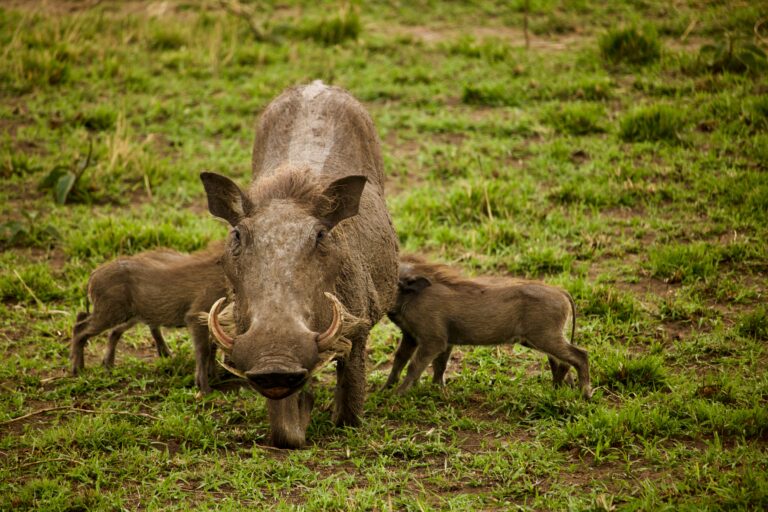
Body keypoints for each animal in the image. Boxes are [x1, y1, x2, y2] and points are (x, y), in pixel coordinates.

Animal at [70, 242, 227, 394]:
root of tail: (93, 274)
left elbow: (213, 347)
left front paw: (215, 378)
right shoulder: (197, 316)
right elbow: (204, 351)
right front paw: (205, 390)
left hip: (129, 315)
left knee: (95, 323)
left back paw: (107, 366)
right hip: (110, 313)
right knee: (80, 328)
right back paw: (78, 370)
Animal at [201, 81, 398, 448]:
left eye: (320, 235)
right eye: (237, 235)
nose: (275, 359)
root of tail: (317, 85)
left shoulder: (359, 326)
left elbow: (350, 403)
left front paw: (338, 418)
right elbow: (283, 431)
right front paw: (304, 407)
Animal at [384, 255, 592, 399]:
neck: (412, 298)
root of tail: (561, 291)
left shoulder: (433, 340)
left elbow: (414, 366)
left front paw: (396, 395)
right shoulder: (416, 337)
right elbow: (409, 361)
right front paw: (388, 389)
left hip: (546, 337)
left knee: (579, 356)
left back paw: (584, 395)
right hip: (540, 339)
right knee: (561, 361)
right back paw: (556, 391)